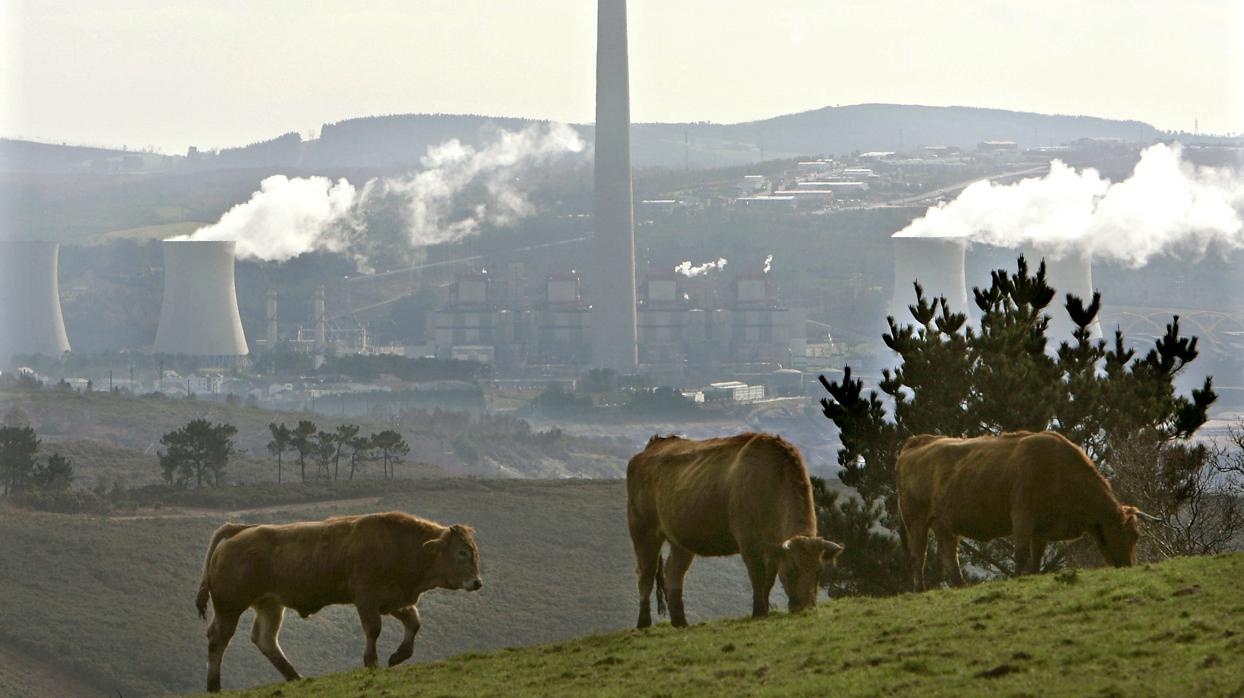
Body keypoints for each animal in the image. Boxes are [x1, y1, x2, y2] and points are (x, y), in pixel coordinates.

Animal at [196, 512, 482, 691]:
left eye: (474, 551)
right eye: (461, 552)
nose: (477, 582)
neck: (400, 544)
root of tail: (239, 530)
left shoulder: (396, 600)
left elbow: (414, 623)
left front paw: (397, 656)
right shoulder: (367, 599)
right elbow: (373, 629)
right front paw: (372, 662)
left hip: (270, 605)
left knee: (266, 639)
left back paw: (296, 677)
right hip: (230, 607)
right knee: (218, 640)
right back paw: (214, 686)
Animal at [626, 430, 840, 627]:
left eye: (819, 571)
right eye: (793, 569)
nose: (807, 608)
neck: (772, 480)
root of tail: (654, 445)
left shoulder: (772, 548)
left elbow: (768, 580)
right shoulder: (748, 542)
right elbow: (757, 576)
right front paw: (759, 612)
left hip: (681, 540)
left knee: (674, 573)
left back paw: (680, 622)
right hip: (643, 531)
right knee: (645, 575)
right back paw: (643, 623)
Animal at [895, 430, 1144, 587]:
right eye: (1132, 535)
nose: (1129, 566)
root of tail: (919, 442)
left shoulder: (1042, 528)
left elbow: (1036, 557)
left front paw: (1032, 576)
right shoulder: (1023, 515)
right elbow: (1022, 553)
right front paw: (1016, 578)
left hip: (944, 525)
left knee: (949, 557)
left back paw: (960, 586)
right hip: (916, 521)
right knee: (918, 556)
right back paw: (920, 589)